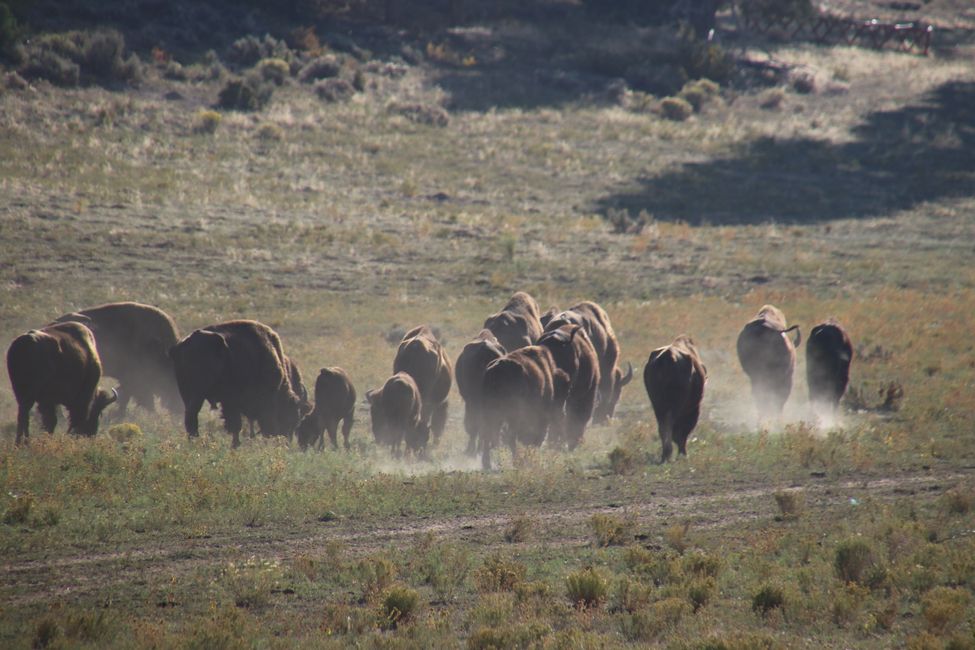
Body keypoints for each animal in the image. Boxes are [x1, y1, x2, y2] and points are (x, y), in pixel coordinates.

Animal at [168, 318, 304, 446]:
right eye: (291, 415)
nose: (287, 439)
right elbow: (237, 424)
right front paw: (236, 444)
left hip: (188, 394)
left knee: (190, 419)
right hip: (197, 394)